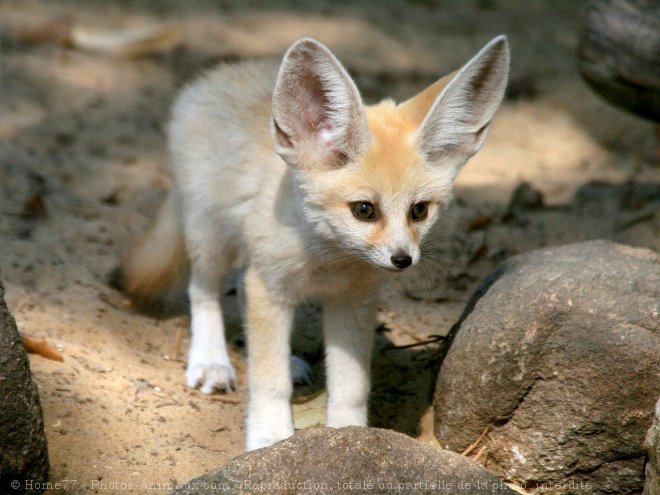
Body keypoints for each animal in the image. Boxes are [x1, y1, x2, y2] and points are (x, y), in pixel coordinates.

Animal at [121, 35, 509, 450]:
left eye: (419, 211)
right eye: (364, 210)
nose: (403, 259)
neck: (328, 261)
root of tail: (217, 75)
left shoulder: (352, 303)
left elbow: (351, 386)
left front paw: (349, 436)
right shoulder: (271, 288)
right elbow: (269, 381)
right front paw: (270, 436)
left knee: (241, 288)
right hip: (212, 240)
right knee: (202, 292)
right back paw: (211, 361)